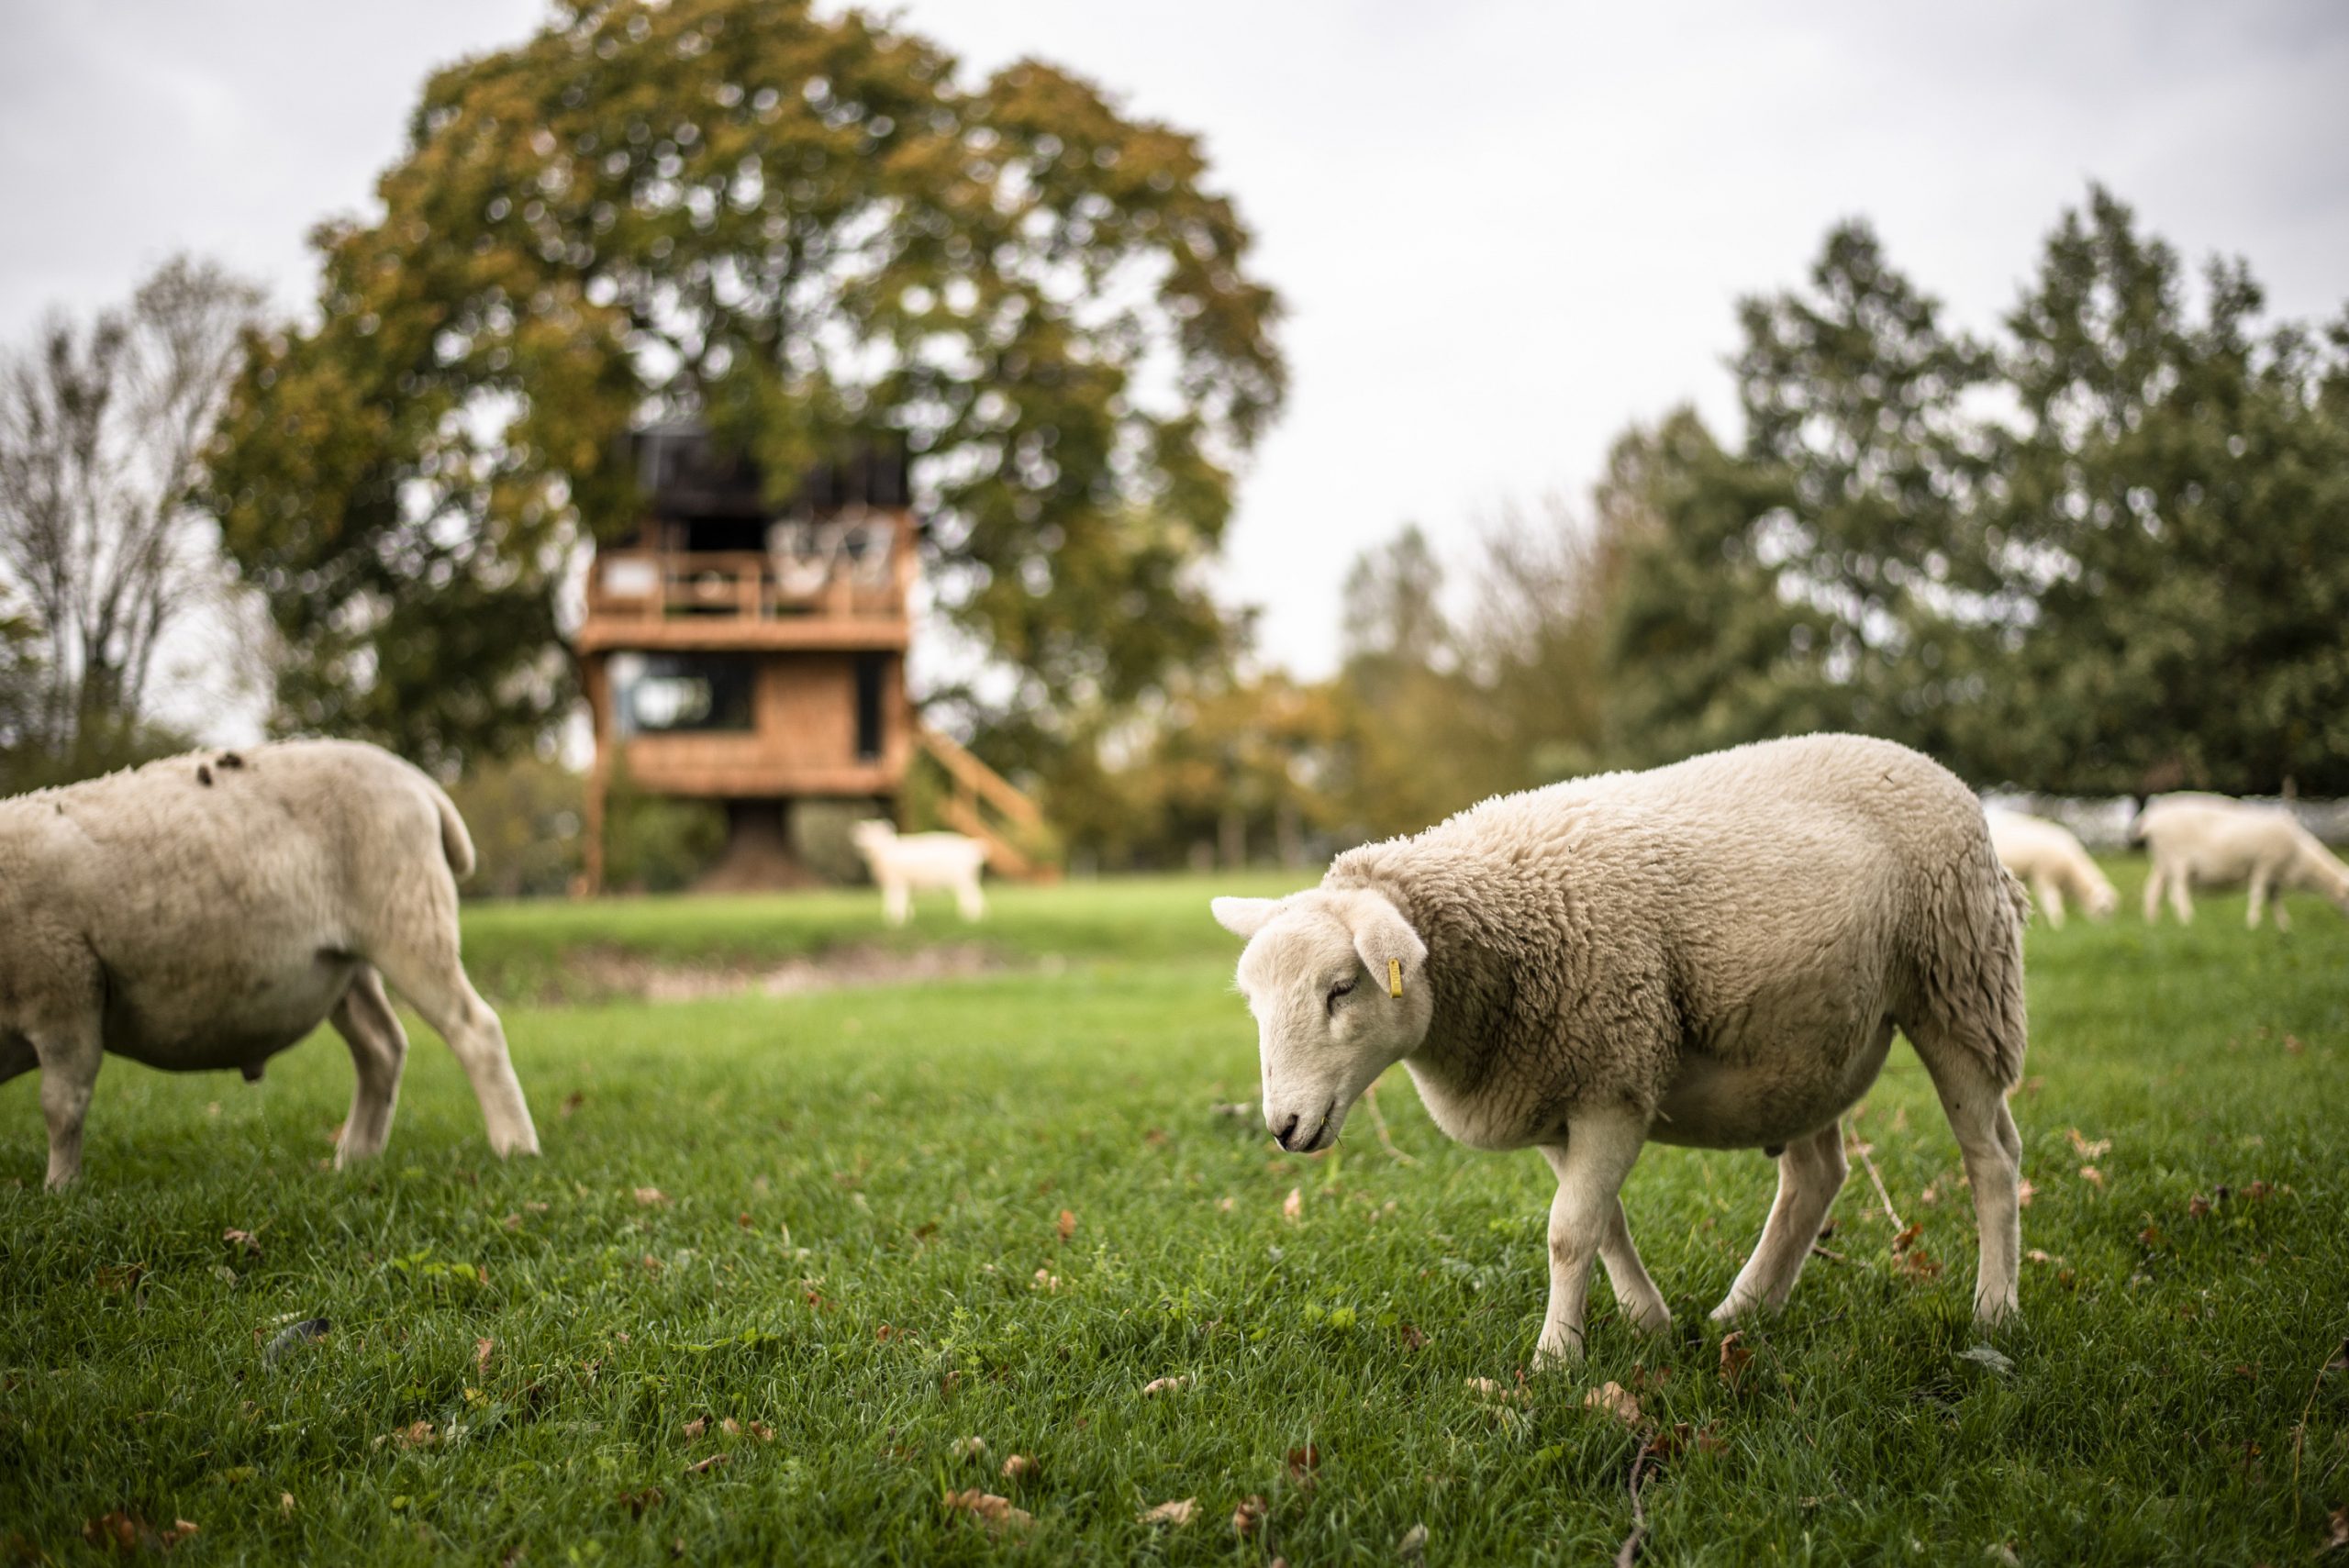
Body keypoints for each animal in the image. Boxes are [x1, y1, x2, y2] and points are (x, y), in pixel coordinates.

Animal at [1, 740, 540, 1187]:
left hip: (407, 919)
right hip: (344, 965)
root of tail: (418, 781)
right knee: (381, 1048)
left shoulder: (64, 992)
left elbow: (62, 1107)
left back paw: (515, 1148)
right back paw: (354, 1159)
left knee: (475, 1029)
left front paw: (60, 1191)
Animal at [849, 819, 988, 926]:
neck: (883, 851)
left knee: (970, 896)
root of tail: (971, 847)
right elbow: (904, 901)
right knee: (976, 895)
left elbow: (895, 900)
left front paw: (895, 921)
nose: (866, 846)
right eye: (865, 834)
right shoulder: (902, 882)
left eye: (878, 833)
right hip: (968, 877)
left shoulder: (897, 881)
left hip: (960, 877)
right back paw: (978, 916)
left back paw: (970, 917)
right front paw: (907, 919)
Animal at [1211, 733, 2029, 1366]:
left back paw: (1994, 1309)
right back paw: (1744, 1310)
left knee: (1990, 1158)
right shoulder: (1550, 1089)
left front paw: (1555, 1360)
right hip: (1805, 1040)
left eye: (1342, 988)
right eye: (1252, 1000)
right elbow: (1603, 1222)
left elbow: (1568, 1232)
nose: (1283, 1127)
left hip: (1959, 984)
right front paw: (1648, 1322)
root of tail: (1933, 766)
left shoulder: (1614, 1079)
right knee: (1815, 1176)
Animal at [1986, 807, 2118, 928]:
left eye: (2112, 911)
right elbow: (2052, 900)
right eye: (2103, 909)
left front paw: (2043, 924)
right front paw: (2057, 924)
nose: (2106, 927)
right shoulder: (2045, 876)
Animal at [2132, 793, 2349, 929]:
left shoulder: (2274, 876)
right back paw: (2188, 920)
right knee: (2177, 892)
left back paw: (2153, 922)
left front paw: (2284, 925)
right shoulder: (2265, 864)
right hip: (2177, 860)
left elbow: (2275, 900)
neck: (2299, 857)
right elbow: (2257, 895)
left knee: (2152, 890)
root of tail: (2150, 819)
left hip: (2162, 863)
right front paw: (2253, 923)